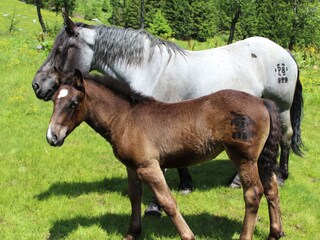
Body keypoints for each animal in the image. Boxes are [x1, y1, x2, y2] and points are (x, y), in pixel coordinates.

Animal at [31, 15, 302, 211]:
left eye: (59, 50)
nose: (37, 85)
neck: (150, 68)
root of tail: (285, 53)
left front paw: (156, 204)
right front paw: (186, 184)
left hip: (282, 107)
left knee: (286, 138)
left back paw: (281, 176)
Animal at [45, 68, 282, 239]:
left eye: (73, 103)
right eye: (54, 100)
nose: (52, 137)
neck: (125, 118)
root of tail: (262, 101)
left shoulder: (149, 167)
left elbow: (167, 202)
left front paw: (188, 235)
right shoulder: (132, 166)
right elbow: (135, 196)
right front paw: (132, 233)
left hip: (244, 159)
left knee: (253, 194)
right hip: (261, 159)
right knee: (272, 188)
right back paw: (275, 233)